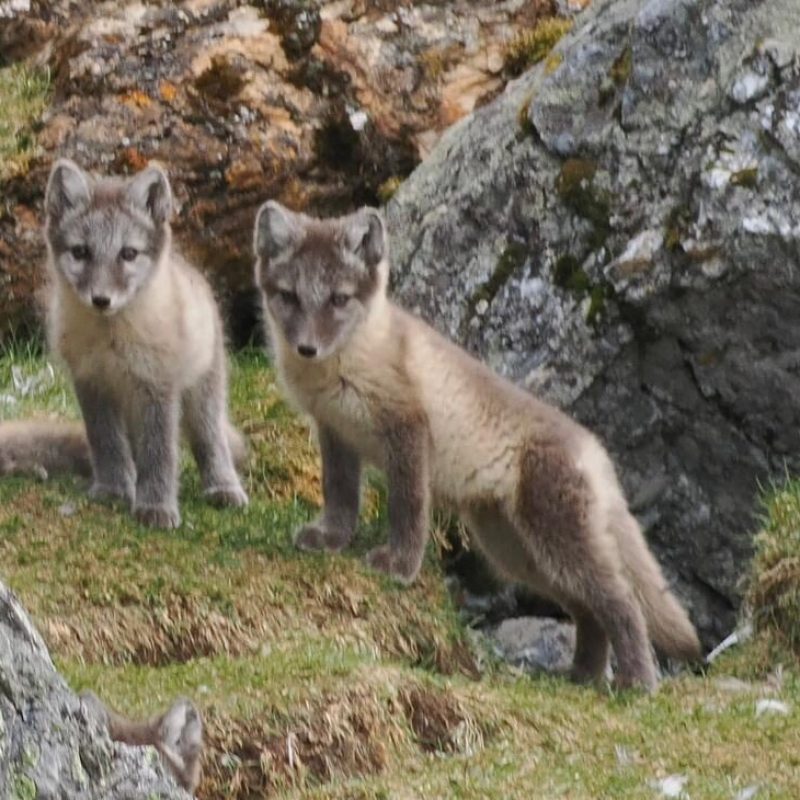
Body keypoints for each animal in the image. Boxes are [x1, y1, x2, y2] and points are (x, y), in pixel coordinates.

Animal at [0, 159, 248, 528]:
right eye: (81, 252)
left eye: (128, 254)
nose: (101, 299)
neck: (112, 342)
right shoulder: (92, 384)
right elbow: (107, 443)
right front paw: (114, 489)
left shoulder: (157, 387)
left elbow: (160, 453)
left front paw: (156, 508)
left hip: (203, 393)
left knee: (210, 440)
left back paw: (223, 488)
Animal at [252, 201, 702, 690]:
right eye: (289, 296)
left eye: (338, 299)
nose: (307, 348)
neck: (345, 364)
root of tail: (594, 450)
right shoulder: (335, 432)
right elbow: (339, 496)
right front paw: (330, 539)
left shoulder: (408, 428)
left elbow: (407, 507)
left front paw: (400, 566)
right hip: (517, 552)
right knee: (588, 610)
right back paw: (582, 676)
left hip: (557, 540)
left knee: (622, 602)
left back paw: (636, 682)